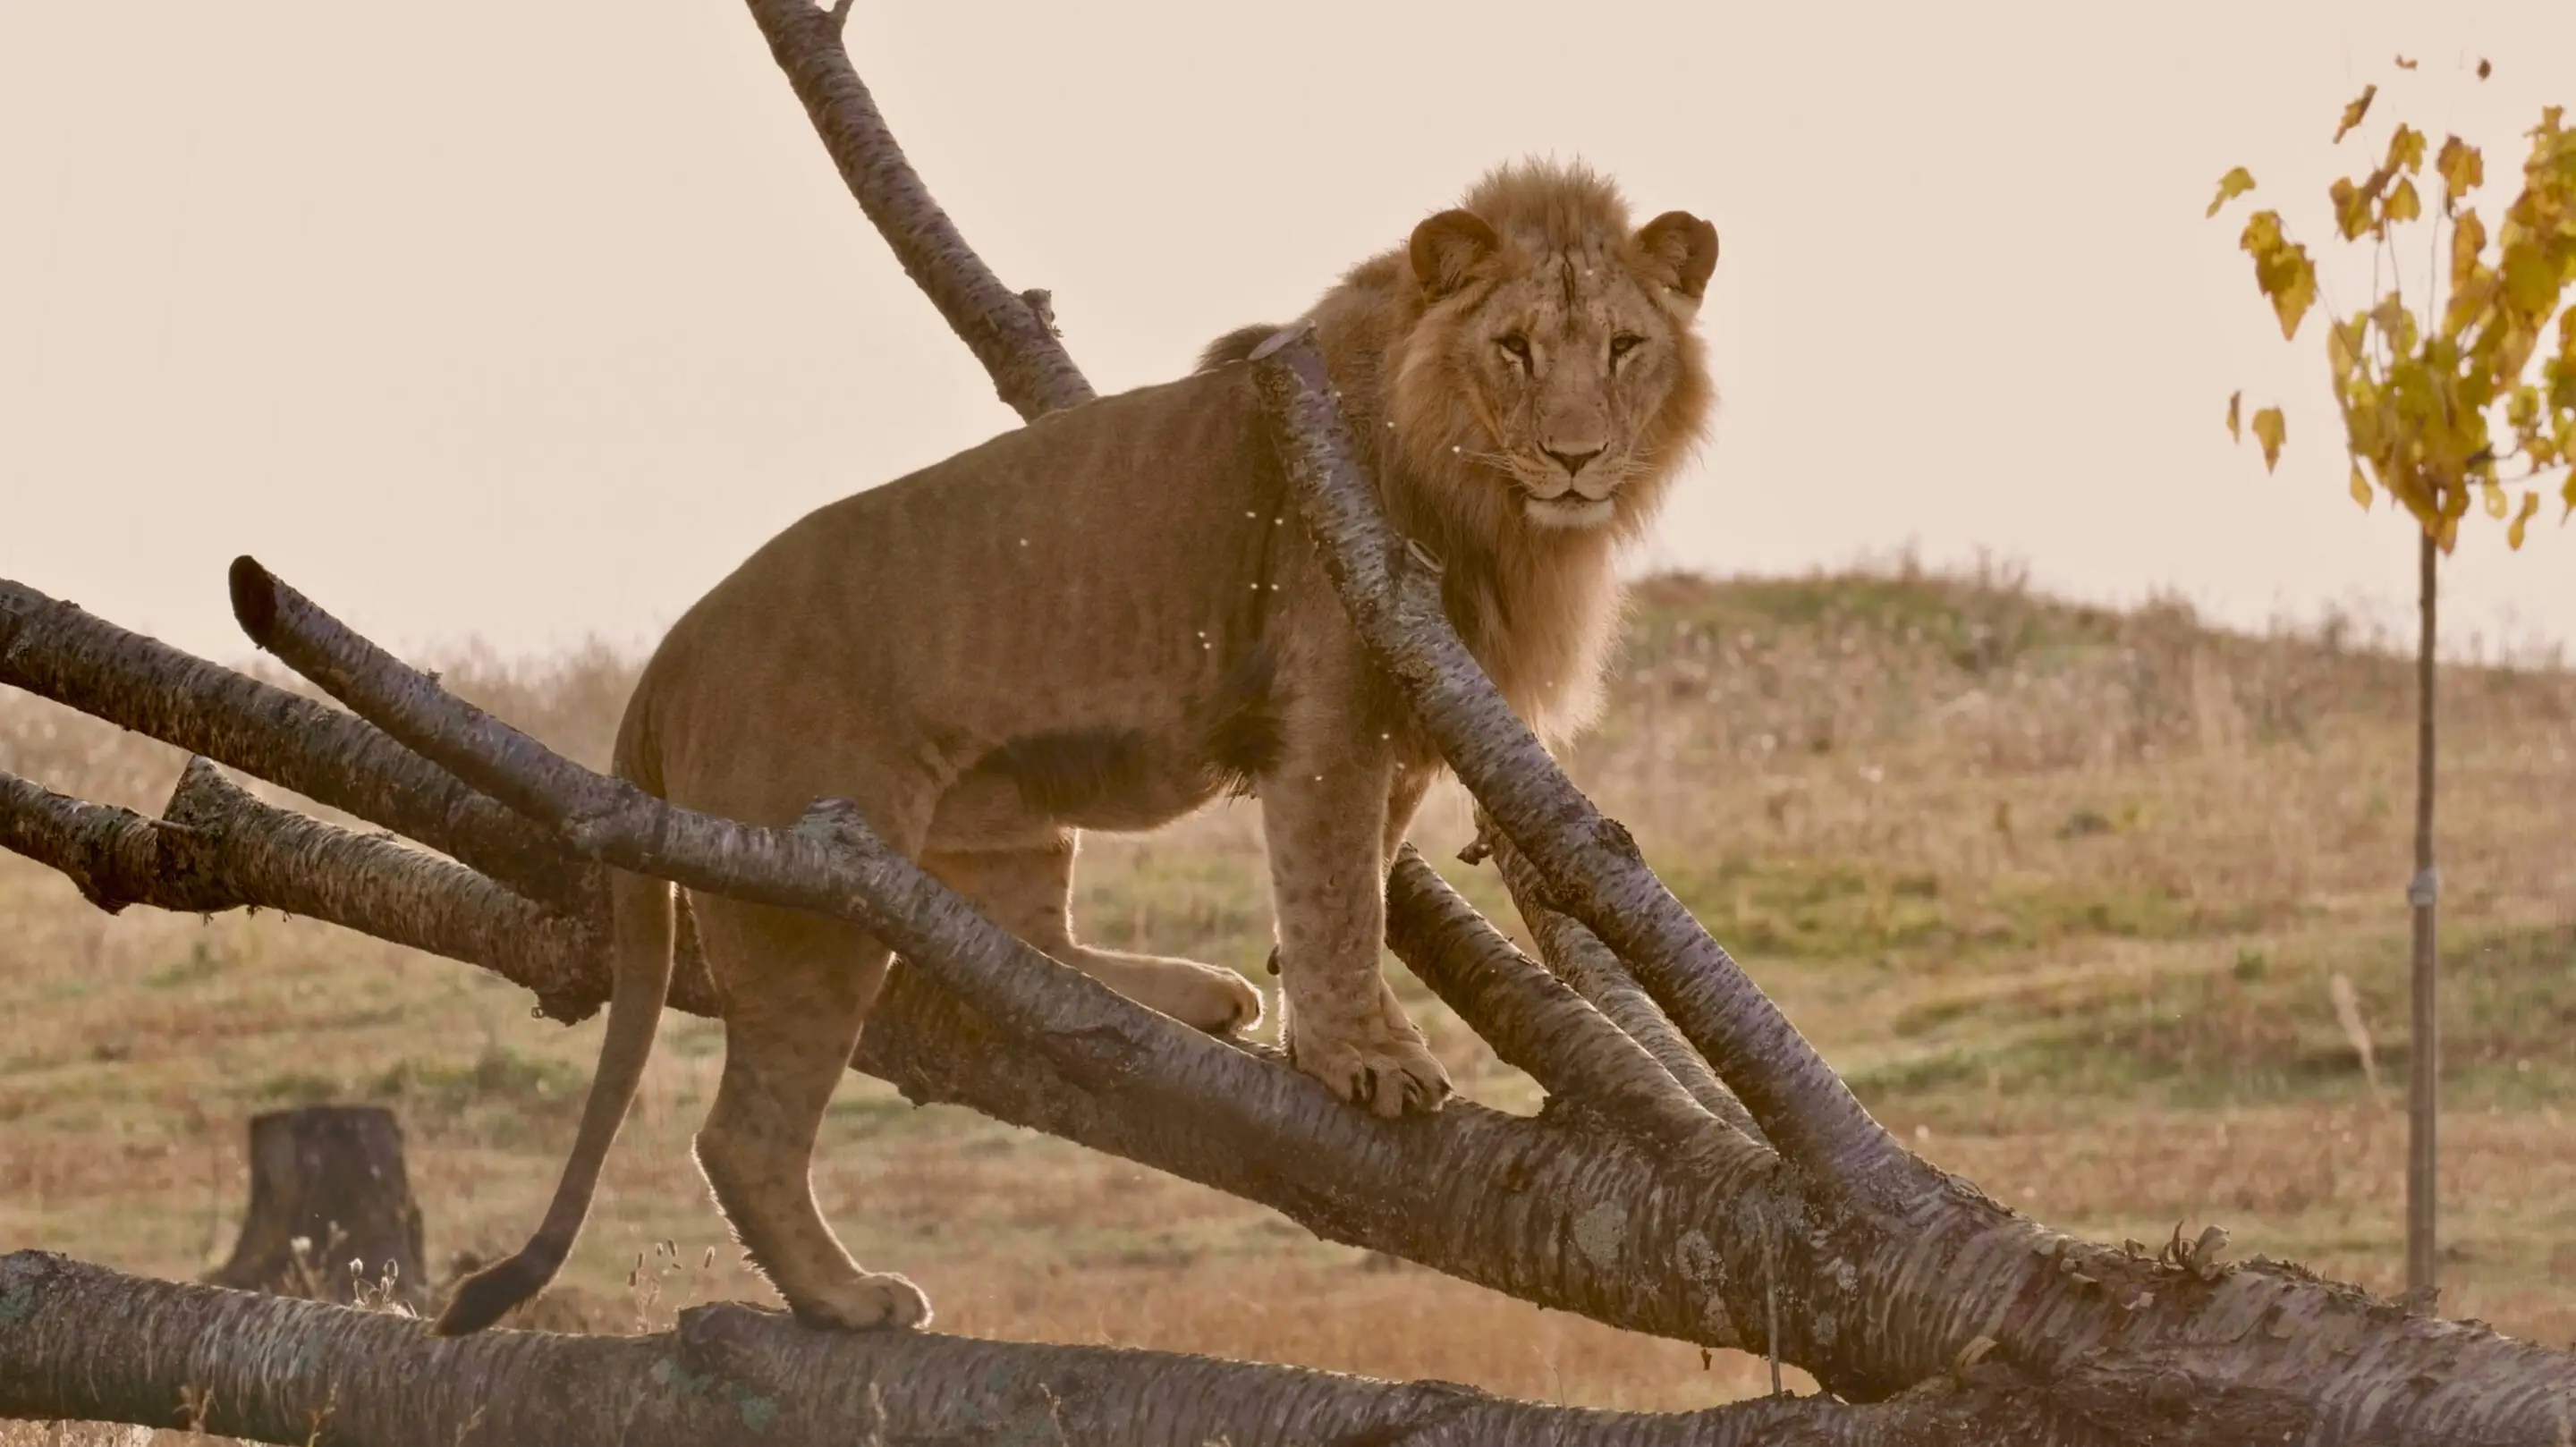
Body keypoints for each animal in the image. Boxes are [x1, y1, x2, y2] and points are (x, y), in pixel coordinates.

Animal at [432, 157, 1718, 1336]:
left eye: (1622, 347)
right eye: (1512, 348)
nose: (1576, 458)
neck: (1491, 504)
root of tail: (665, 659)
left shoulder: (1403, 721)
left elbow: (1341, 885)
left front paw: (1332, 1030)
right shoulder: (1335, 705)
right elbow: (1335, 892)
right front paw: (1364, 1059)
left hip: (1004, 814)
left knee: (1034, 953)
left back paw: (1190, 999)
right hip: (813, 894)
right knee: (744, 1134)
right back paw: (846, 1298)